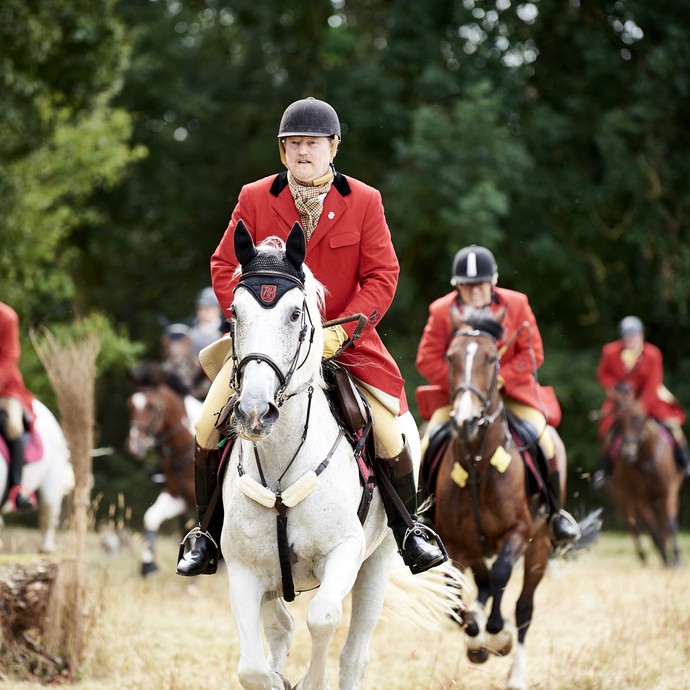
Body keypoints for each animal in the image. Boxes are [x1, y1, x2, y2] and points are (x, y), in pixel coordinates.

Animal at [125, 366, 200, 576]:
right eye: (130, 405)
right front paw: (148, 565)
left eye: (152, 406)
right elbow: (151, 516)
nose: (135, 445)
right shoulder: (177, 498)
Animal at [218, 220, 460, 688]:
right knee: (280, 626)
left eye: (296, 314)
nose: (255, 412)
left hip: (378, 562)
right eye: (235, 313)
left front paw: (310, 682)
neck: (280, 468)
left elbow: (323, 617)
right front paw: (276, 678)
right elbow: (251, 669)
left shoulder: (344, 552)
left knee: (353, 654)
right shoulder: (243, 571)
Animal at [428, 306, 568, 688]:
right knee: (483, 583)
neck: (477, 462)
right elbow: (456, 596)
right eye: (450, 357)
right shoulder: (455, 545)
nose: (465, 421)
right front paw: (476, 638)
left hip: (539, 549)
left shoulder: (518, 534)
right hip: (477, 548)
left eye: (492, 359)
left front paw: (495, 633)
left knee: (522, 607)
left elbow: (503, 574)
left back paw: (515, 671)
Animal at [604, 390, 680, 560]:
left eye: (639, 418)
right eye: (619, 420)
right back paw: (643, 557)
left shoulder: (669, 491)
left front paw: (675, 559)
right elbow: (654, 533)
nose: (628, 452)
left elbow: (669, 525)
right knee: (632, 525)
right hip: (622, 497)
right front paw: (666, 559)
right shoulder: (640, 500)